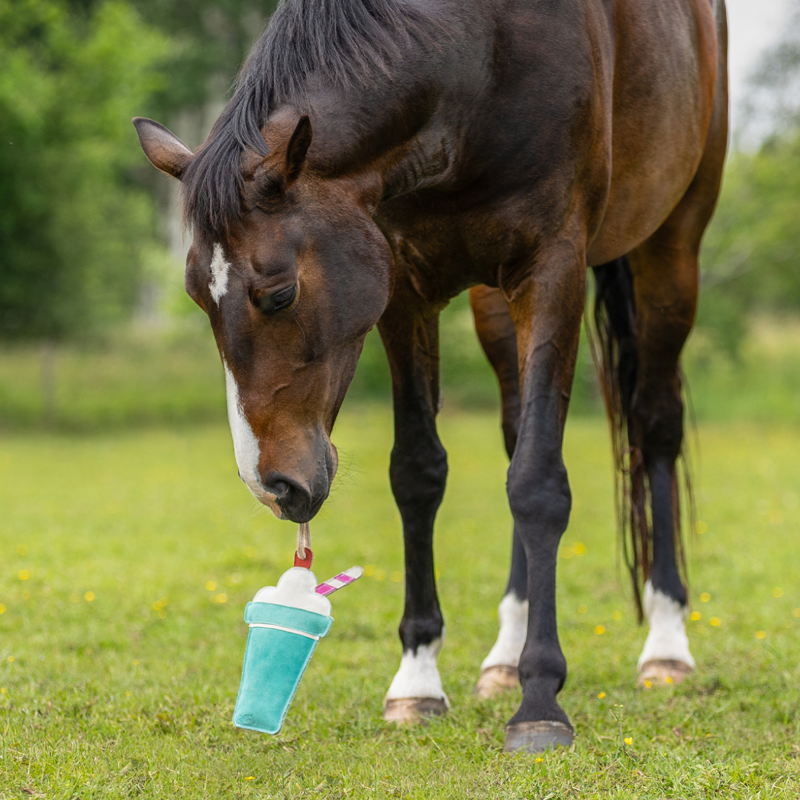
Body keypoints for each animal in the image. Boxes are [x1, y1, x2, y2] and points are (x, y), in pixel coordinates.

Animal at [133, 0, 728, 753]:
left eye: (279, 291)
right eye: (195, 297)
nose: (274, 487)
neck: (478, 60)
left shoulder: (553, 270)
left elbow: (538, 484)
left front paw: (541, 700)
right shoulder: (404, 289)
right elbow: (418, 473)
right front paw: (417, 679)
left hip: (672, 249)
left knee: (654, 426)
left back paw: (667, 643)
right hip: (494, 302)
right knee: (517, 431)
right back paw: (503, 656)